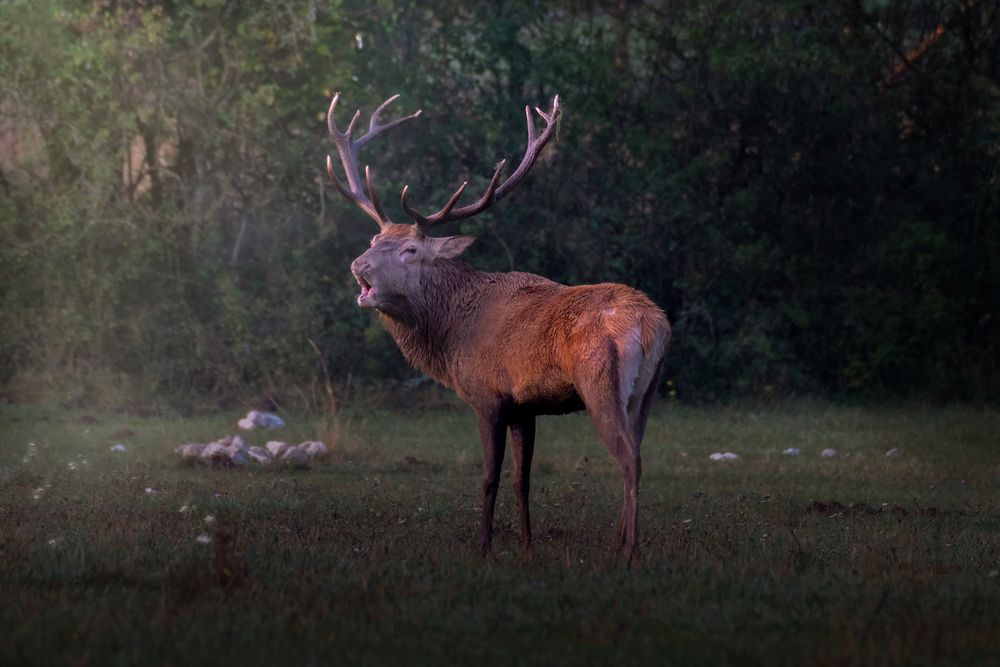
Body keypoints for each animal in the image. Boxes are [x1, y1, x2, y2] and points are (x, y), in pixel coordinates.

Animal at [325, 92, 670, 564]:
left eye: (410, 249)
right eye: (375, 241)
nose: (359, 265)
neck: (450, 332)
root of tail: (654, 324)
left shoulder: (487, 394)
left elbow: (490, 476)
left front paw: (483, 546)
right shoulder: (525, 405)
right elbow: (522, 480)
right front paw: (526, 545)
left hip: (600, 383)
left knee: (628, 460)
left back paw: (628, 552)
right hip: (644, 395)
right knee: (636, 450)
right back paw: (620, 541)